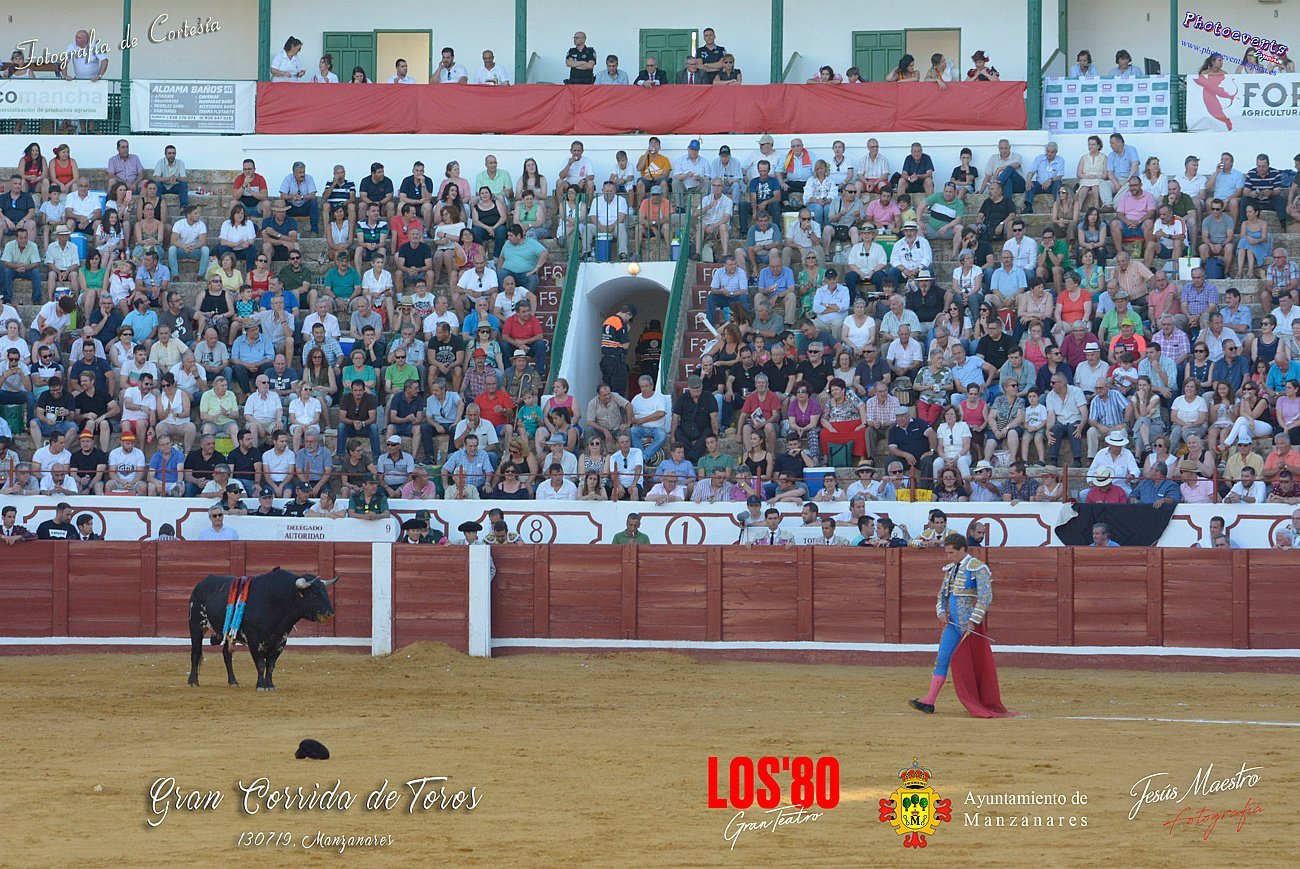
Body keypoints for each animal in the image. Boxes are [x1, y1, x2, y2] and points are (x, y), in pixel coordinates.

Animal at [187, 568, 337, 691]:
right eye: (314, 594)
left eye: (325, 592)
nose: (329, 614)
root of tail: (201, 583)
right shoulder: (253, 637)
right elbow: (260, 663)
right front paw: (260, 685)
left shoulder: (281, 639)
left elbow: (270, 664)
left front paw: (270, 685)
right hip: (196, 625)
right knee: (196, 652)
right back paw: (193, 682)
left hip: (228, 633)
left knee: (227, 655)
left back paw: (233, 682)